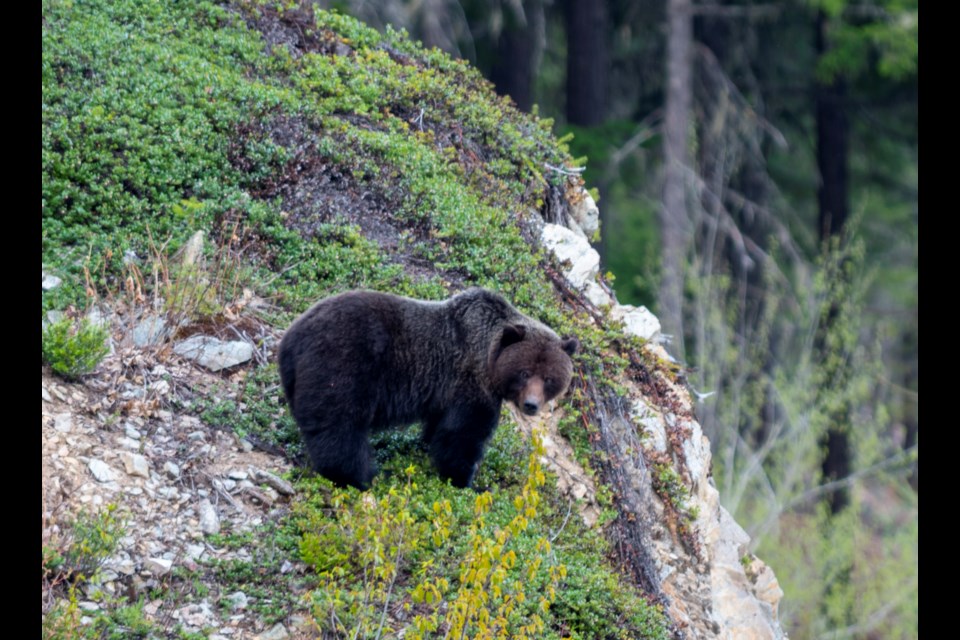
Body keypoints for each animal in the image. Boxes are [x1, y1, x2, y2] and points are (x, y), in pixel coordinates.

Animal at [278, 288, 576, 488]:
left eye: (549, 378)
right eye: (525, 372)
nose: (531, 405)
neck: (489, 361)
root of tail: (290, 339)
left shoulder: (445, 394)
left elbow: (439, 428)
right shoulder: (470, 386)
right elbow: (462, 435)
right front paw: (467, 480)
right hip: (343, 365)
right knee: (340, 428)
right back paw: (362, 476)